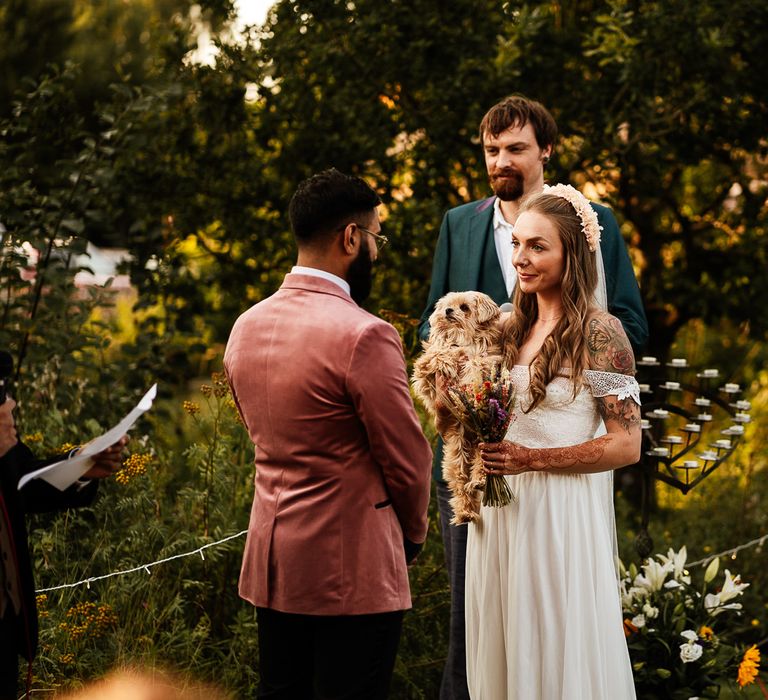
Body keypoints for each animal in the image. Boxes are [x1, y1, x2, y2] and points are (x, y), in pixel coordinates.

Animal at [414, 288, 504, 524]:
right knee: (460, 484)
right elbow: (439, 353)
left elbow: (477, 363)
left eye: (464, 307)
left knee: (482, 467)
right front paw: (449, 359)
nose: (447, 311)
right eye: (447, 305)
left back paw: (478, 483)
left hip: (485, 445)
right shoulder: (423, 370)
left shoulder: (487, 357)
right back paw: (465, 512)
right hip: (456, 455)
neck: (462, 338)